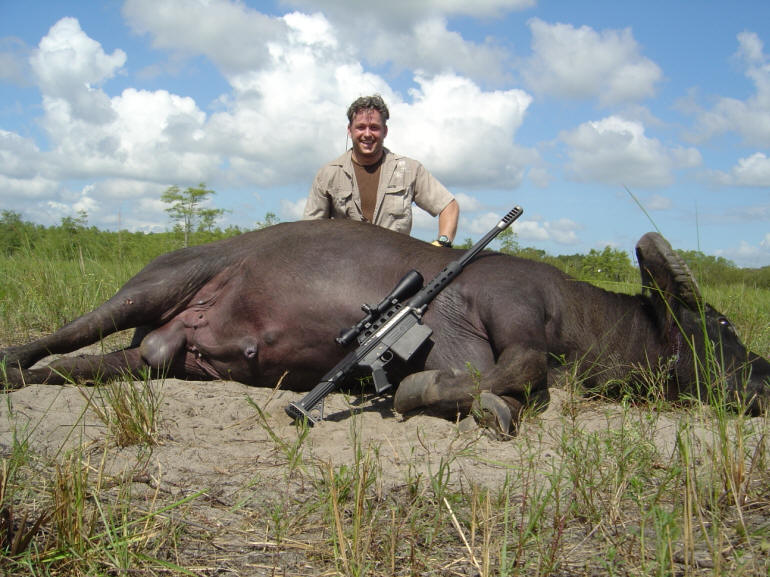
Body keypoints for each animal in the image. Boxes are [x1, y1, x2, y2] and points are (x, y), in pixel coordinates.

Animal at [1, 219, 768, 434]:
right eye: (722, 322)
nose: (763, 374)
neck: (576, 315)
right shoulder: (497, 324)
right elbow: (520, 372)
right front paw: (425, 396)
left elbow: (516, 380)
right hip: (148, 289)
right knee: (61, 335)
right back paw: (9, 362)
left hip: (153, 357)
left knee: (79, 365)